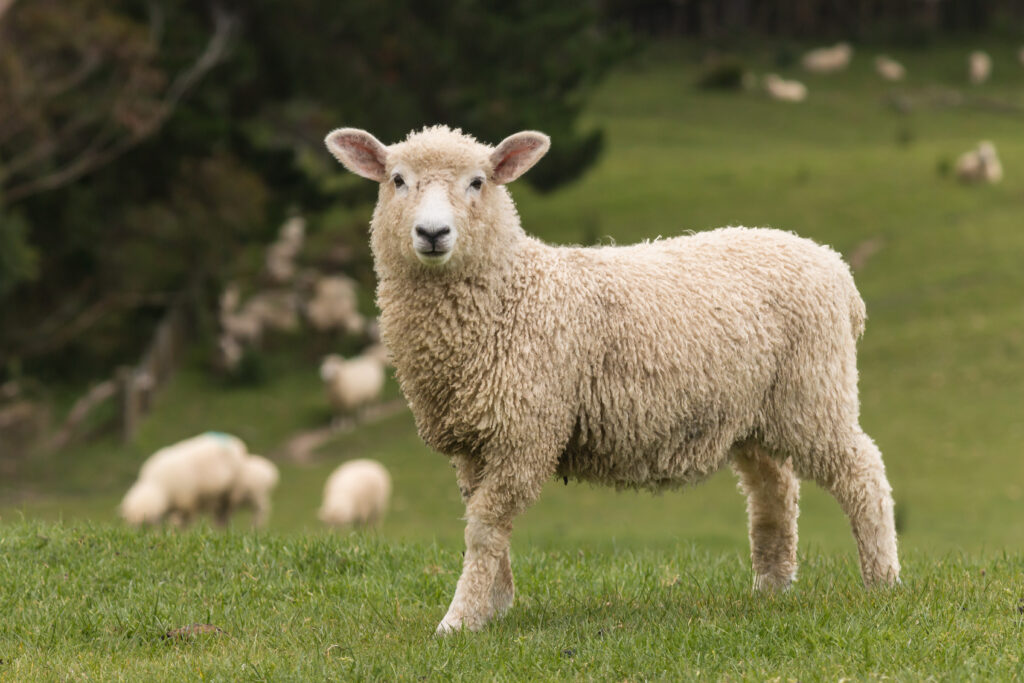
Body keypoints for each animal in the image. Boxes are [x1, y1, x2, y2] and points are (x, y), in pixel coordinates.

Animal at [323, 124, 901, 634]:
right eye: (397, 179)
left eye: (478, 182)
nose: (432, 234)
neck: (512, 292)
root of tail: (835, 268)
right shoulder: (475, 440)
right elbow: (483, 523)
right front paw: (496, 605)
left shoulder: (524, 432)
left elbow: (485, 529)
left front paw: (460, 619)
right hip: (755, 411)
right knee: (774, 491)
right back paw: (771, 589)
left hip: (815, 390)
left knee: (863, 472)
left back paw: (883, 582)